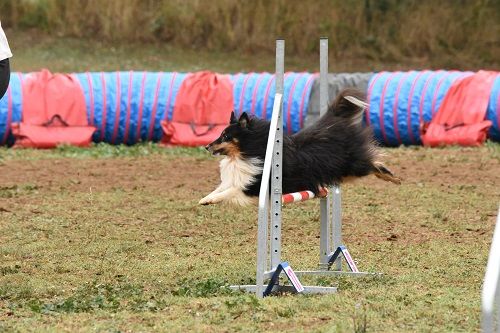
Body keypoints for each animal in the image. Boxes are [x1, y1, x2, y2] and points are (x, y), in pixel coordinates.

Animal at [197, 88, 400, 205]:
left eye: (225, 136)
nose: (206, 146)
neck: (247, 152)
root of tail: (333, 122)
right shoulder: (237, 178)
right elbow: (221, 188)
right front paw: (205, 198)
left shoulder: (255, 185)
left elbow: (231, 191)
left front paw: (210, 200)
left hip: (350, 167)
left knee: (373, 163)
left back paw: (392, 177)